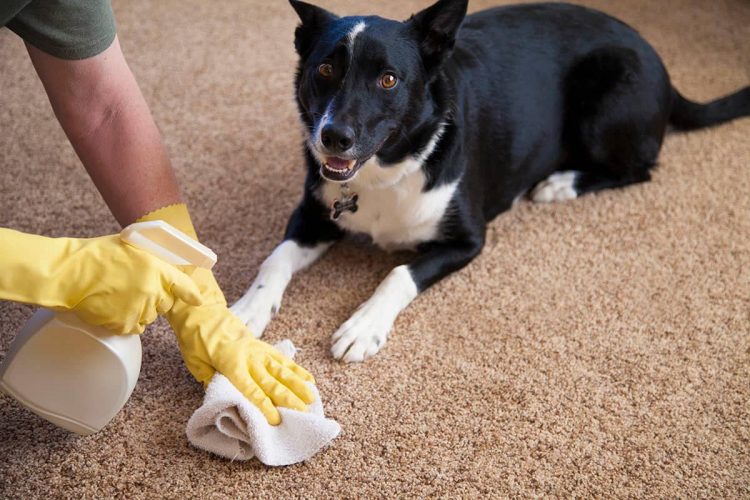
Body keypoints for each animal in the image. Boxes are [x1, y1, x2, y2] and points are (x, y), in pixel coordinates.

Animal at [232, 0, 748, 362]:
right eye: (325, 69)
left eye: (389, 79)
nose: (333, 137)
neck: (387, 172)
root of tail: (660, 64)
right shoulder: (314, 214)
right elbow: (274, 260)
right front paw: (246, 311)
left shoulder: (468, 240)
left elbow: (398, 274)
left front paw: (363, 327)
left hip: (605, 102)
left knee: (640, 168)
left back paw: (560, 183)